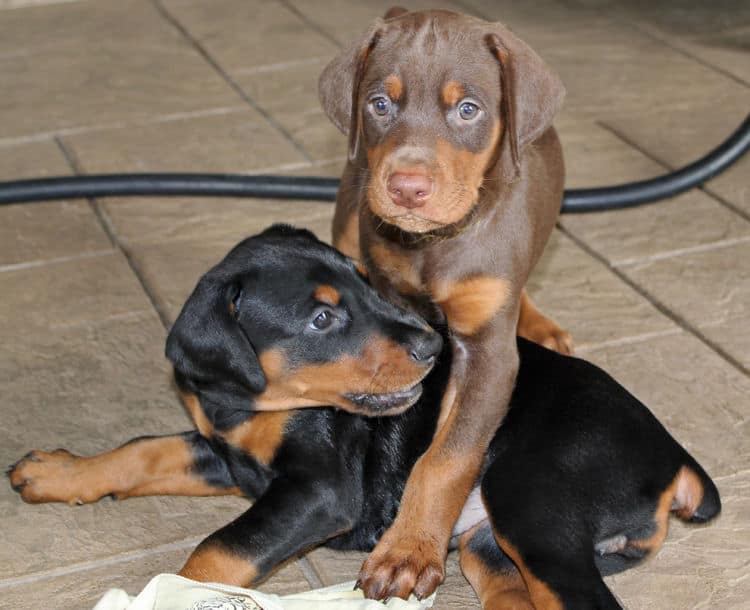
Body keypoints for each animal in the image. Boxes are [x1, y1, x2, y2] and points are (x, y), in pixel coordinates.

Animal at [8, 226, 720, 604]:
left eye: (366, 280)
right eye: (322, 318)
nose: (432, 347)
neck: (249, 402)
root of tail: (674, 458)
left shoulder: (319, 490)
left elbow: (218, 549)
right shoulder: (226, 453)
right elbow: (143, 449)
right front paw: (55, 471)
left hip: (530, 497)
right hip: (487, 544)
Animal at [320, 8, 572, 600]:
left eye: (468, 110)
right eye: (380, 104)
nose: (407, 188)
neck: (432, 247)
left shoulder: (489, 354)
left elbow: (447, 458)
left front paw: (409, 550)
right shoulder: (401, 324)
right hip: (350, 206)